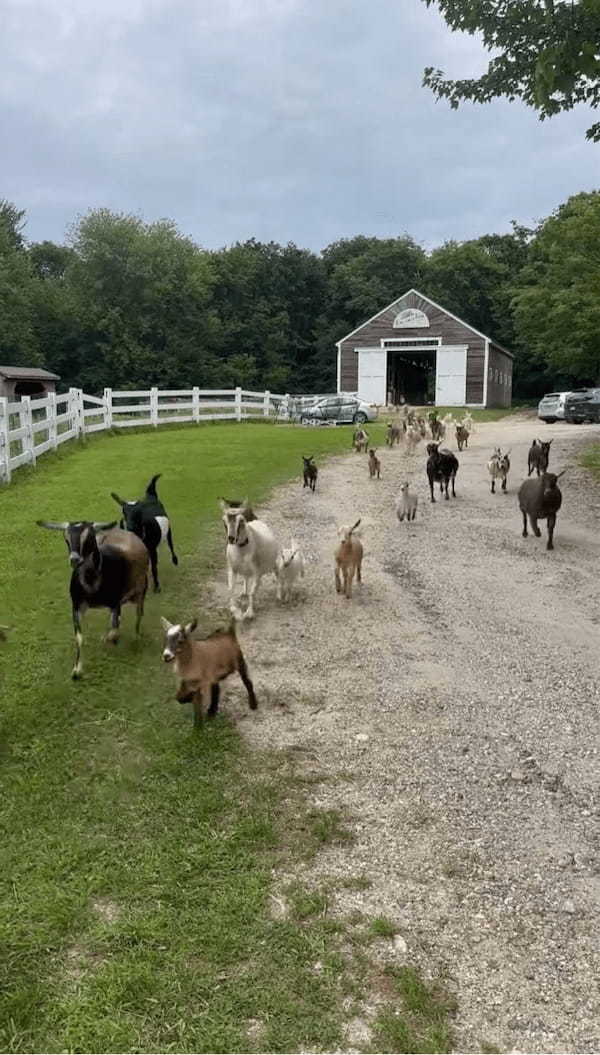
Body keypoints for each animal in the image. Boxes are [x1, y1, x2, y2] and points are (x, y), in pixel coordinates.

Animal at [36, 516, 148, 675]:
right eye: (66, 538)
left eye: (89, 537)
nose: (74, 559)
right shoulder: (77, 606)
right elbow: (79, 637)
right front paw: (76, 670)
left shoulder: (116, 602)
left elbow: (114, 630)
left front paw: (108, 639)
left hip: (140, 591)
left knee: (138, 615)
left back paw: (136, 638)